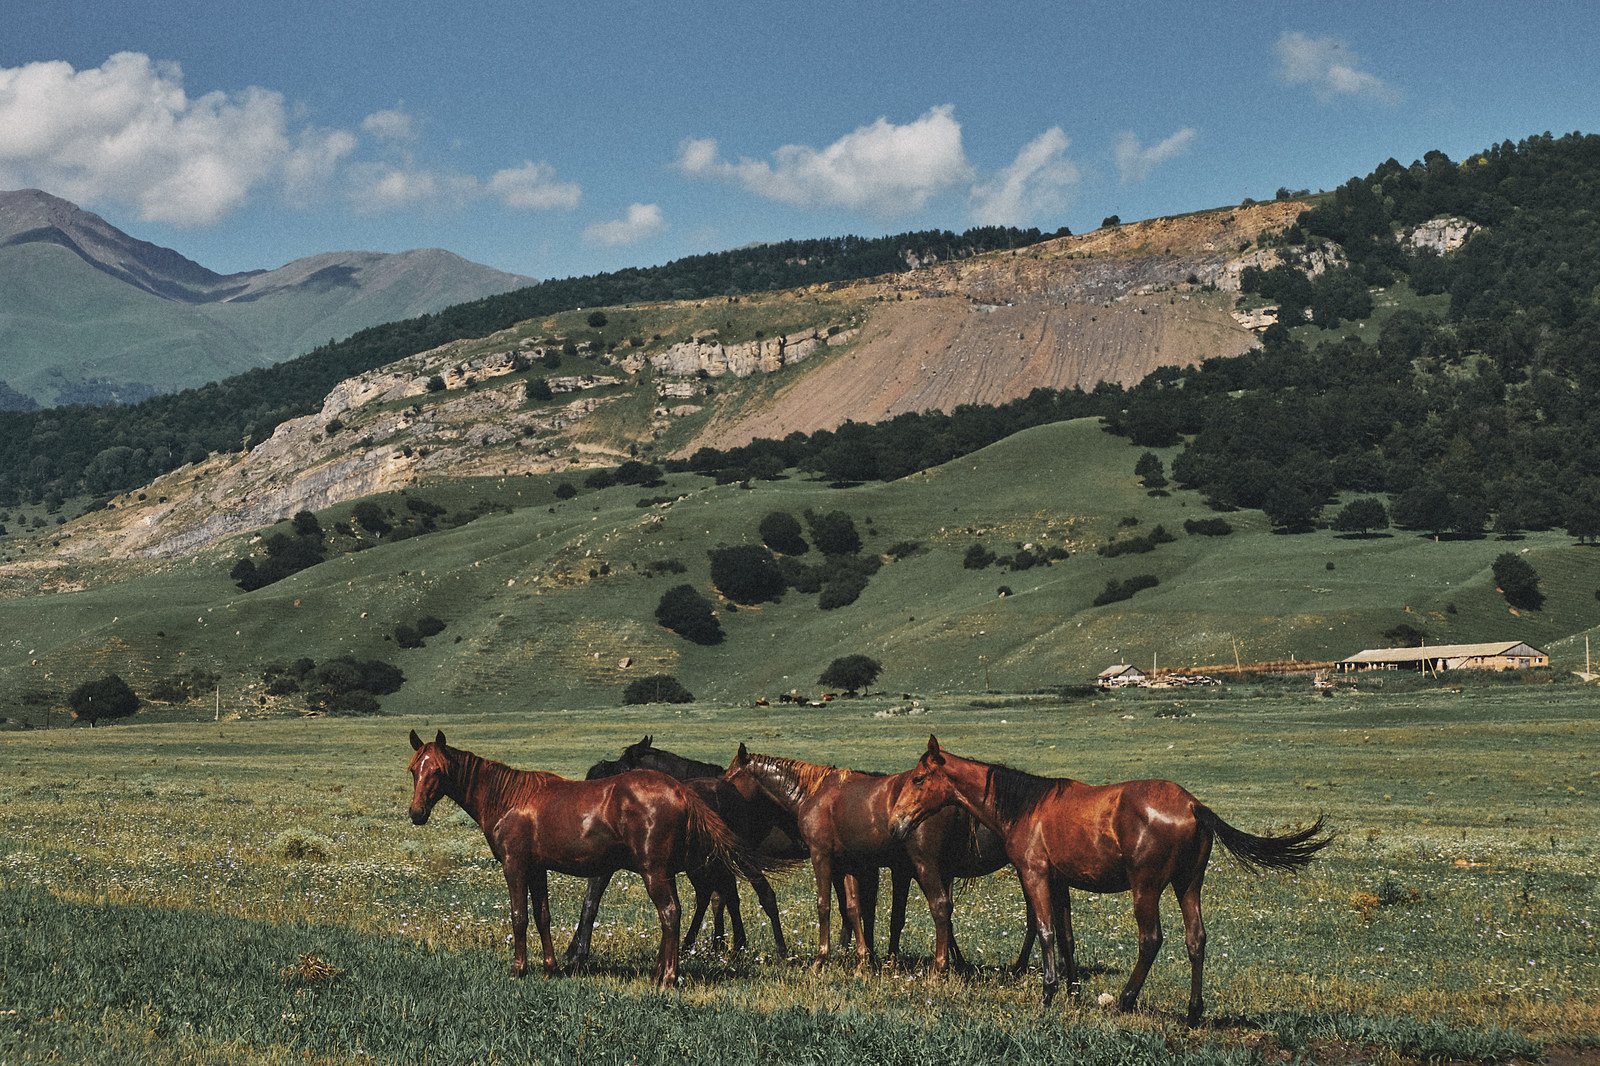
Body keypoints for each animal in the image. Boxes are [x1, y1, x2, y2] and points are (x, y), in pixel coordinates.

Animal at [723, 742, 1030, 966]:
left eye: (730, 777)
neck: (813, 794)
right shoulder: (851, 864)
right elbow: (855, 909)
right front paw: (863, 960)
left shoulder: (822, 857)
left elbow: (825, 906)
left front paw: (822, 960)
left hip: (928, 866)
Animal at [883, 729, 1331, 1024]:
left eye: (918, 779)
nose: (895, 823)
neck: (1027, 807)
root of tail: (1193, 805)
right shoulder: (1060, 882)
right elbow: (1067, 937)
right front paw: (1072, 992)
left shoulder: (1035, 876)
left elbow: (1045, 931)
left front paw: (1048, 994)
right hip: (1188, 885)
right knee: (1196, 940)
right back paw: (1192, 1013)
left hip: (1146, 889)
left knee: (1151, 940)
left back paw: (1125, 1000)